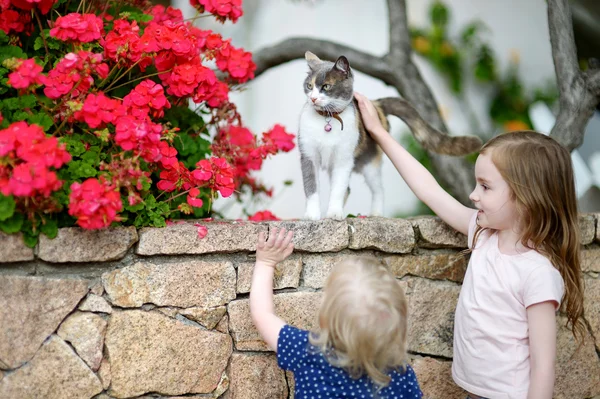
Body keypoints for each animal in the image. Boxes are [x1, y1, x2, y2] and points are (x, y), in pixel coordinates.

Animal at [300, 50, 482, 220]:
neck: (327, 119)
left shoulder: (343, 158)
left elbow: (338, 187)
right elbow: (311, 186)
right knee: (349, 188)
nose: (313, 98)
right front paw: (312, 215)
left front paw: (334, 213)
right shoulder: (308, 155)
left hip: (370, 161)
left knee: (377, 188)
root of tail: (376, 105)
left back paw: (376, 213)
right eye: (309, 86)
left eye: (326, 87)